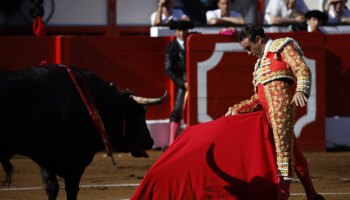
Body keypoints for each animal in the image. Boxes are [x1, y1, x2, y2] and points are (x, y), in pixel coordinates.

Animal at [0, 65, 166, 199]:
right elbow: (69, 190)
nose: (150, 141)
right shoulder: (74, 161)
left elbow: (52, 187)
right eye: (139, 112)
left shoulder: (45, 157)